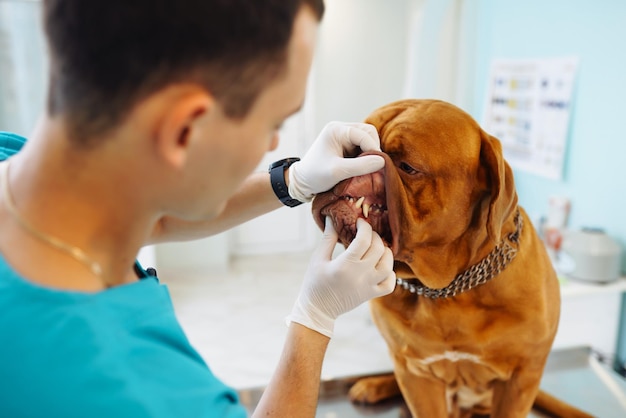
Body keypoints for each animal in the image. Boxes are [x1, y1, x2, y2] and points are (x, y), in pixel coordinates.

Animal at [312, 99, 588, 416]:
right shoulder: (415, 374)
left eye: (408, 167)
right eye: (351, 146)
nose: (355, 155)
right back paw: (372, 385)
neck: (450, 289)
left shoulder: (521, 379)